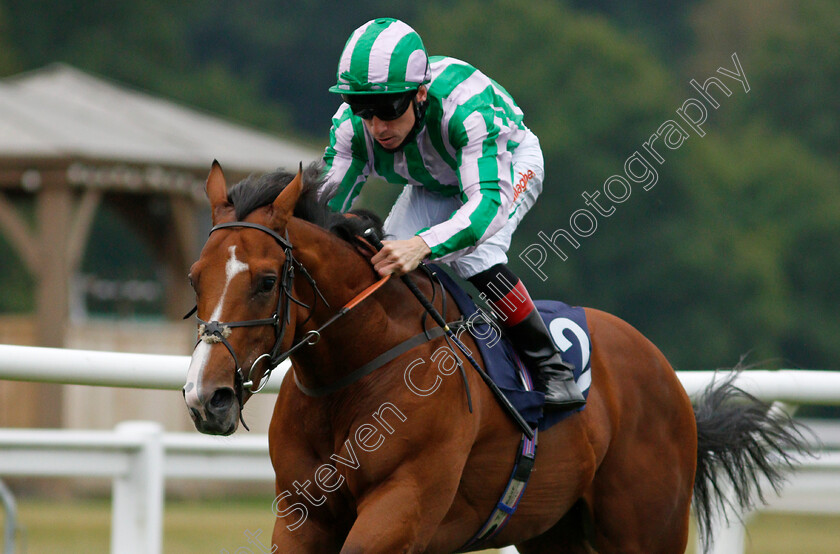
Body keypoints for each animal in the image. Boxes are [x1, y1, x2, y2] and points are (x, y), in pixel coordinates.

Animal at [182, 162, 808, 548]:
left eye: (266, 281)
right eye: (194, 278)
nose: (205, 397)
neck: (355, 374)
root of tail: (667, 375)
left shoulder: (402, 507)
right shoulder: (302, 514)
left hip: (646, 527)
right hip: (554, 532)